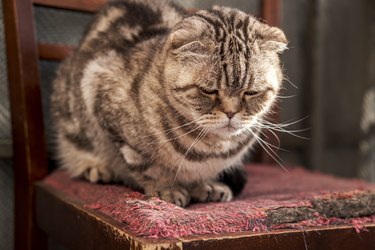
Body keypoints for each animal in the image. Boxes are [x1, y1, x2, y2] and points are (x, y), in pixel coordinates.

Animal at [52, 0, 288, 207]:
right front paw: (166, 188)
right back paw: (95, 167)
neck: (209, 148)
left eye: (251, 92)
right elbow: (148, 167)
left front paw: (204, 186)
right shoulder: (101, 93)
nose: (231, 113)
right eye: (209, 91)